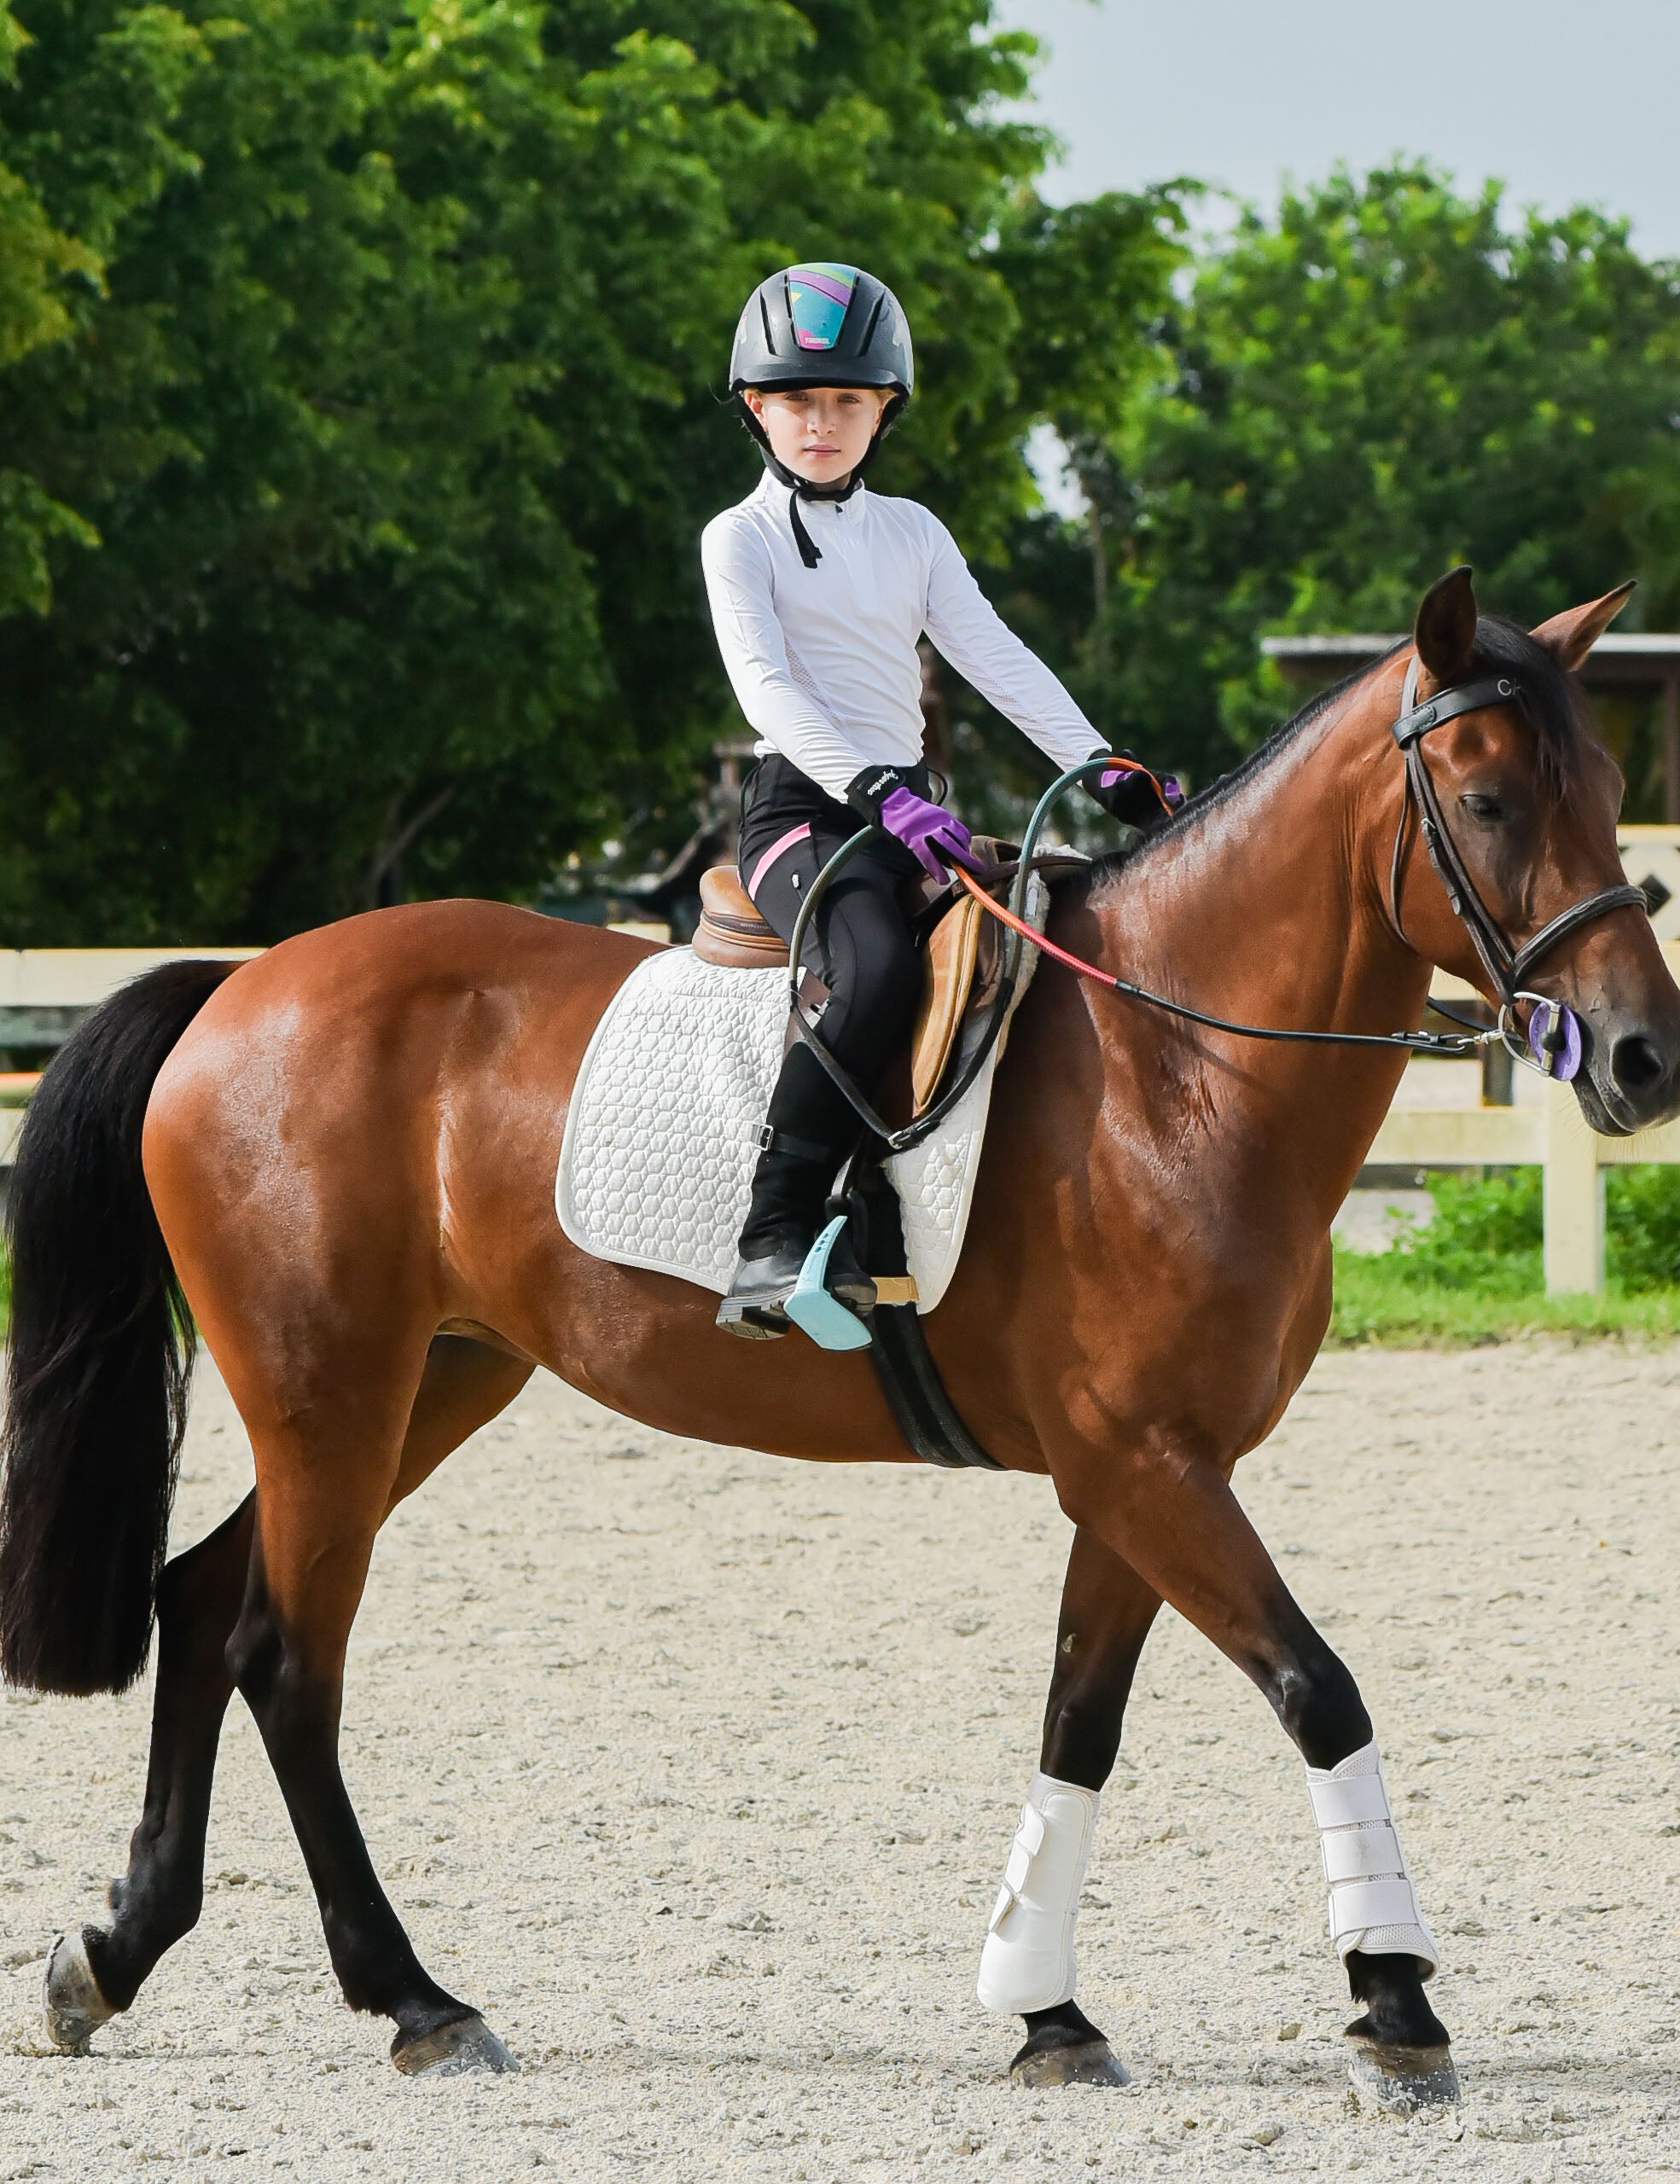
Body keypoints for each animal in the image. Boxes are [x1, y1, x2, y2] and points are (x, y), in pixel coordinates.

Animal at [3, 567, 1677, 2096]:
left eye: (1607, 794)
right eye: (1483, 799)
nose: (1642, 1057)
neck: (1175, 1063)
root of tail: (244, 988)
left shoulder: (1137, 1475)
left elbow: (1080, 1719)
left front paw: (1043, 2010)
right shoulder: (1145, 1467)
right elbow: (1316, 1688)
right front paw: (1393, 2002)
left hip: (423, 1387)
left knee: (201, 1604)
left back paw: (112, 1956)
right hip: (328, 1395)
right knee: (288, 1659)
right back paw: (415, 1999)